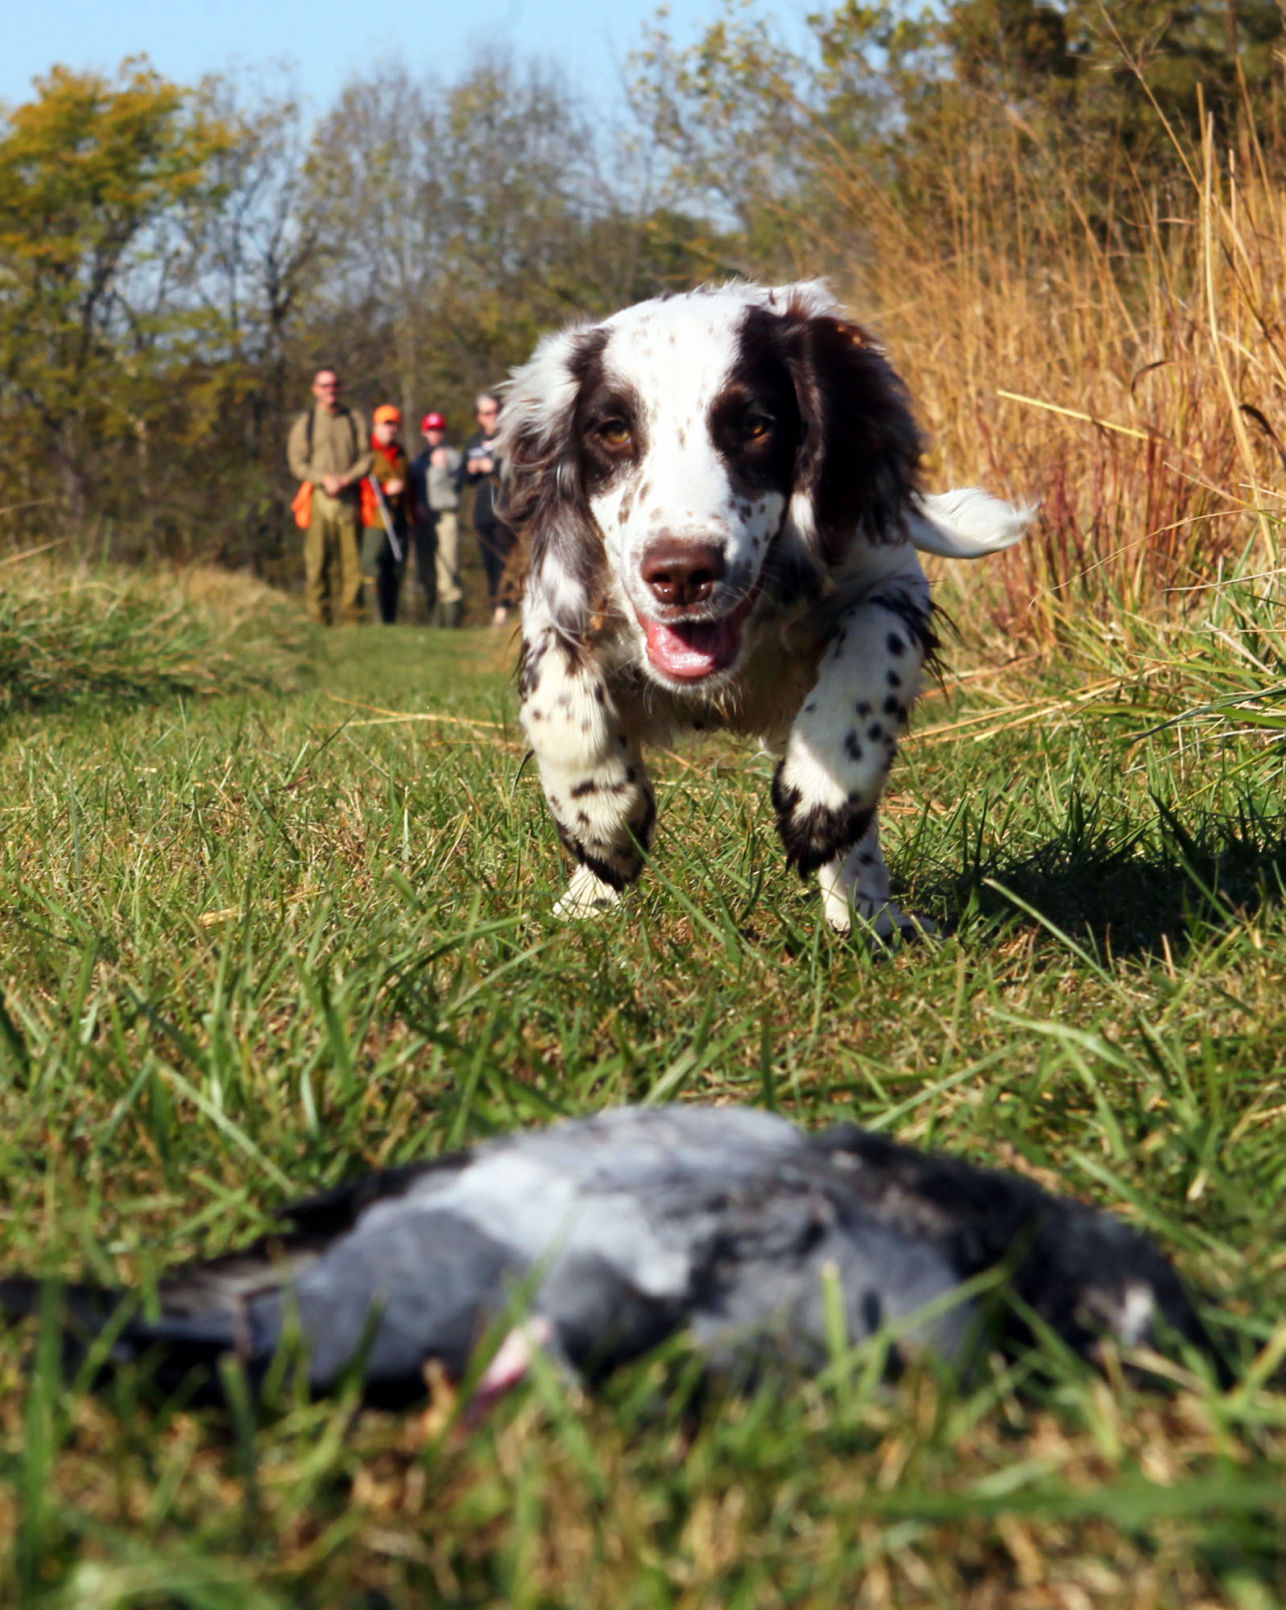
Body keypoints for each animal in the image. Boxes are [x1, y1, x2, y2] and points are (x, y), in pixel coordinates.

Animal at [498, 276, 1030, 933]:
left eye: (755, 425)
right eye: (614, 431)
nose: (681, 573)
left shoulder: (892, 582)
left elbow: (868, 659)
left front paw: (821, 800)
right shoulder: (558, 601)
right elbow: (561, 701)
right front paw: (603, 825)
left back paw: (869, 916)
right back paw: (585, 902)